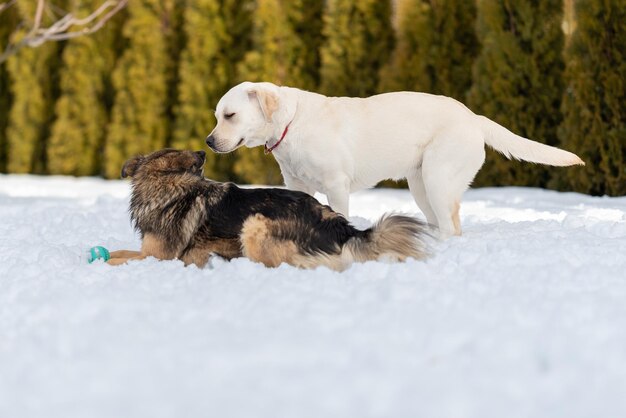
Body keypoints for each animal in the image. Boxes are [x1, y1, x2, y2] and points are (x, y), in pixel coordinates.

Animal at [107, 149, 428, 270]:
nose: (201, 151)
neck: (168, 185)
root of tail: (341, 226)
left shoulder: (160, 256)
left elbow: (121, 258)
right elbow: (118, 251)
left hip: (254, 223)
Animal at [207, 81, 584, 238]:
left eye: (230, 115)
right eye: (216, 116)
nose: (209, 141)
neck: (292, 122)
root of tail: (473, 117)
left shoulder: (336, 185)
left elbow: (340, 215)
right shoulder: (298, 184)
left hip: (437, 177)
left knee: (451, 226)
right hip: (421, 186)